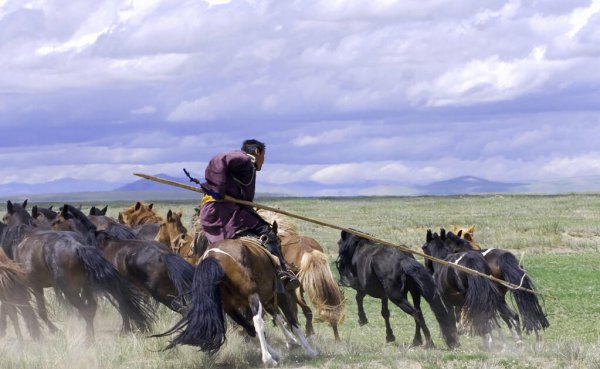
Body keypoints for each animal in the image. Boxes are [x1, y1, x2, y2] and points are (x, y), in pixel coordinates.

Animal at [1, 200, 155, 340]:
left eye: (4, 218)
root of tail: (78, 247)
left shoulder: (34, 286)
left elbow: (38, 311)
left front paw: (53, 331)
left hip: (70, 289)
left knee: (87, 308)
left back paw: (90, 339)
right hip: (88, 286)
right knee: (96, 307)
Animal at [159, 221, 318, 366]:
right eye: (278, 242)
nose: (286, 266)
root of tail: (213, 257)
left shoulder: (267, 299)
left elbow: (277, 318)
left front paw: (292, 342)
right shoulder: (280, 294)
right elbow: (292, 321)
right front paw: (309, 350)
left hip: (229, 307)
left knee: (249, 327)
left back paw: (274, 354)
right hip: (251, 295)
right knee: (257, 322)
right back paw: (268, 359)